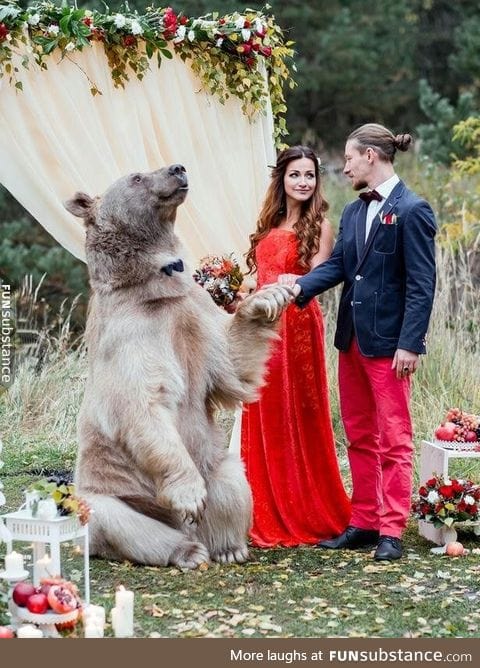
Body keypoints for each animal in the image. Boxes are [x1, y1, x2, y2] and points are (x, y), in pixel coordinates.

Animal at [64, 164, 292, 568]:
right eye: (137, 177)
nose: (178, 168)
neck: (153, 291)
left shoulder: (192, 312)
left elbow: (229, 363)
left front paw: (268, 298)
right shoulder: (132, 334)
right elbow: (142, 404)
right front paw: (189, 495)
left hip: (215, 463)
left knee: (232, 479)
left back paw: (229, 547)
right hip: (113, 494)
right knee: (120, 520)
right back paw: (186, 549)